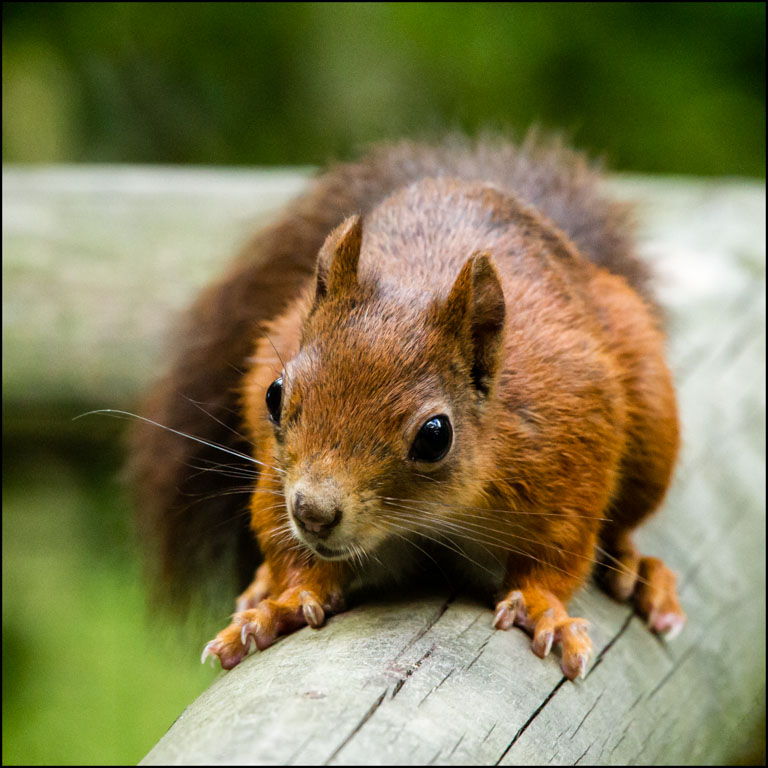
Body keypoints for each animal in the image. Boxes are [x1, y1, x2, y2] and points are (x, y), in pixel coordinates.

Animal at [129, 133, 684, 680]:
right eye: (274, 394)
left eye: (435, 436)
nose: (313, 513)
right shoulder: (276, 475)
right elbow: (286, 542)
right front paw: (283, 602)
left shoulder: (570, 445)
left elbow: (557, 554)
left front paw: (540, 605)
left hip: (651, 430)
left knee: (625, 523)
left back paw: (639, 571)